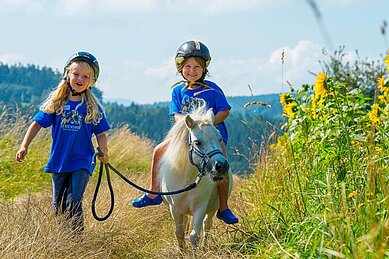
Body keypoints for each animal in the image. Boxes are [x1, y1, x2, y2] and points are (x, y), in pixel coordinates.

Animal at [157, 104, 232, 253]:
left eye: (219, 138)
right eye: (197, 142)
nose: (222, 166)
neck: (187, 179)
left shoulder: (200, 208)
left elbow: (194, 236)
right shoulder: (175, 209)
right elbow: (179, 233)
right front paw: (182, 253)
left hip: (211, 209)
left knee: (206, 226)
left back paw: (203, 247)